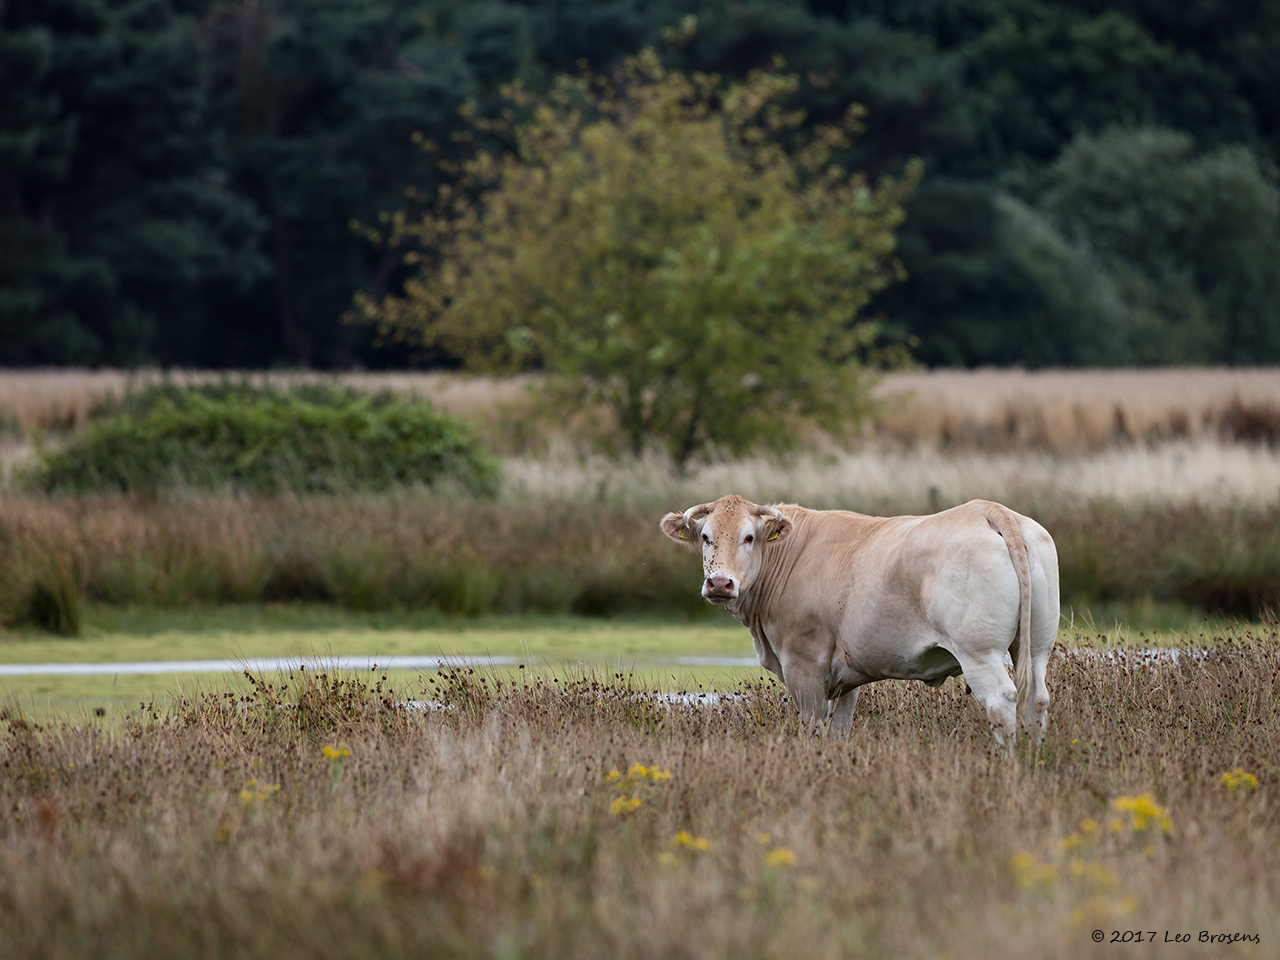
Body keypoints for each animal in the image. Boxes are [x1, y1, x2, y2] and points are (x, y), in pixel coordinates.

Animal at [660, 495, 1059, 749]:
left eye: (749, 536)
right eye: (706, 537)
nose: (719, 583)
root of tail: (990, 510)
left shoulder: (804, 668)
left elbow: (812, 729)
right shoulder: (846, 676)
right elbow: (840, 731)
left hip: (980, 652)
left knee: (1001, 701)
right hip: (1037, 646)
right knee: (1036, 699)